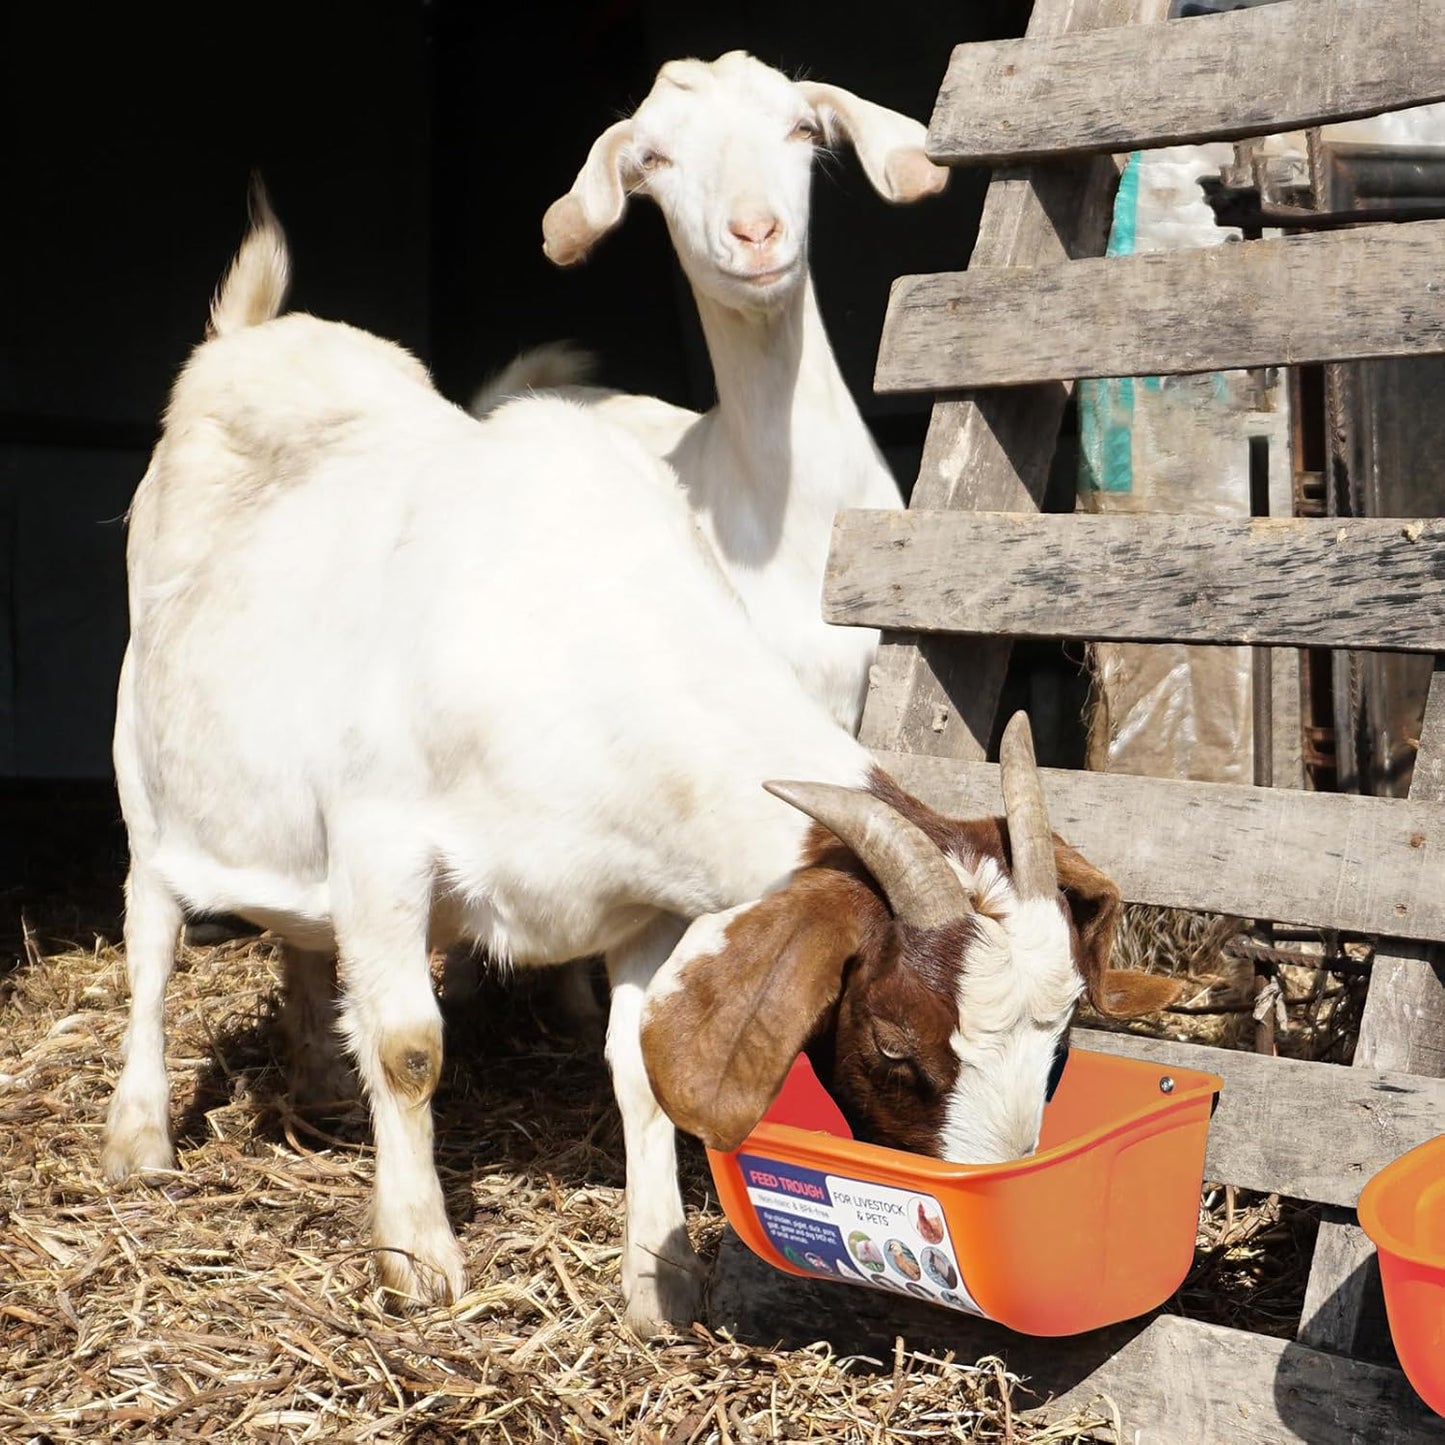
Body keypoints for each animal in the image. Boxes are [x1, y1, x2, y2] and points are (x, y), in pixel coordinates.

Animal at [104, 205, 1178, 1338]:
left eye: (1059, 1047)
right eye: (892, 1043)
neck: (569, 627)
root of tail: (249, 340)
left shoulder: (645, 899)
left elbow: (643, 1071)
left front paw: (659, 1279)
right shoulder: (378, 845)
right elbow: (406, 1047)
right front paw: (418, 1257)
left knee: (303, 940)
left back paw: (313, 1071)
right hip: (143, 774)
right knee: (151, 943)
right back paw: (139, 1137)